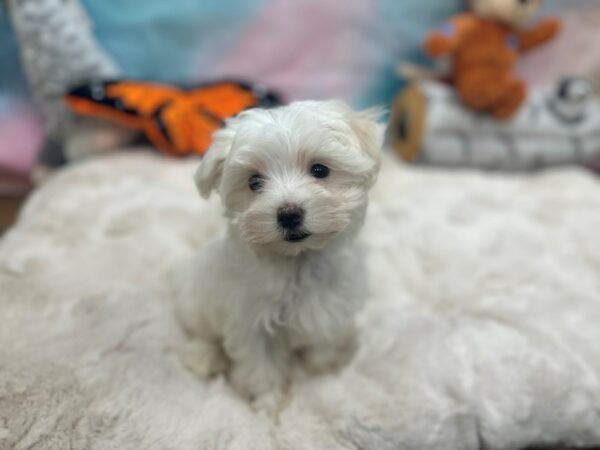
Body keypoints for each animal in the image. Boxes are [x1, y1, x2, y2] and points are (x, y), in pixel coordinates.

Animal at [176, 100, 382, 400]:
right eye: (254, 182)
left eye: (320, 170)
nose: (289, 214)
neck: (297, 261)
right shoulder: (250, 319)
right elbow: (259, 364)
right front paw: (267, 400)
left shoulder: (331, 303)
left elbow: (324, 337)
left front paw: (323, 366)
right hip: (198, 297)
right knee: (201, 331)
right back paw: (205, 358)